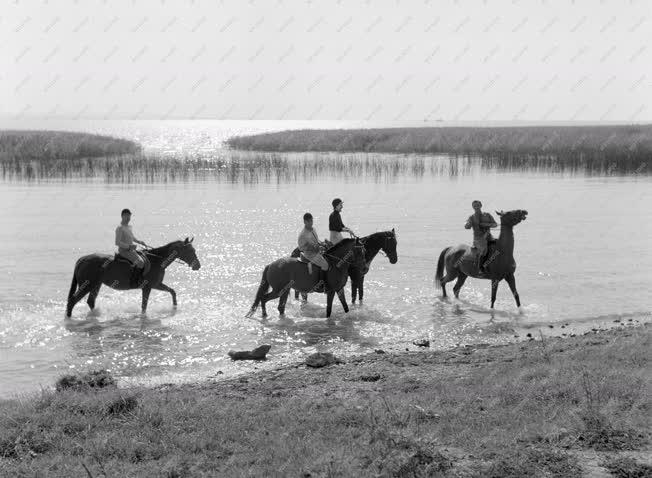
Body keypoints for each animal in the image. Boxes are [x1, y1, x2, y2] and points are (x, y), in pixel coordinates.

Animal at [65, 238, 201, 318]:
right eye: (190, 251)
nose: (198, 266)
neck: (156, 260)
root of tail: (82, 260)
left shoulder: (156, 285)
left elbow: (172, 292)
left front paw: (174, 307)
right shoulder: (148, 287)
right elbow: (144, 305)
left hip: (95, 285)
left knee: (90, 301)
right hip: (87, 285)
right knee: (72, 301)